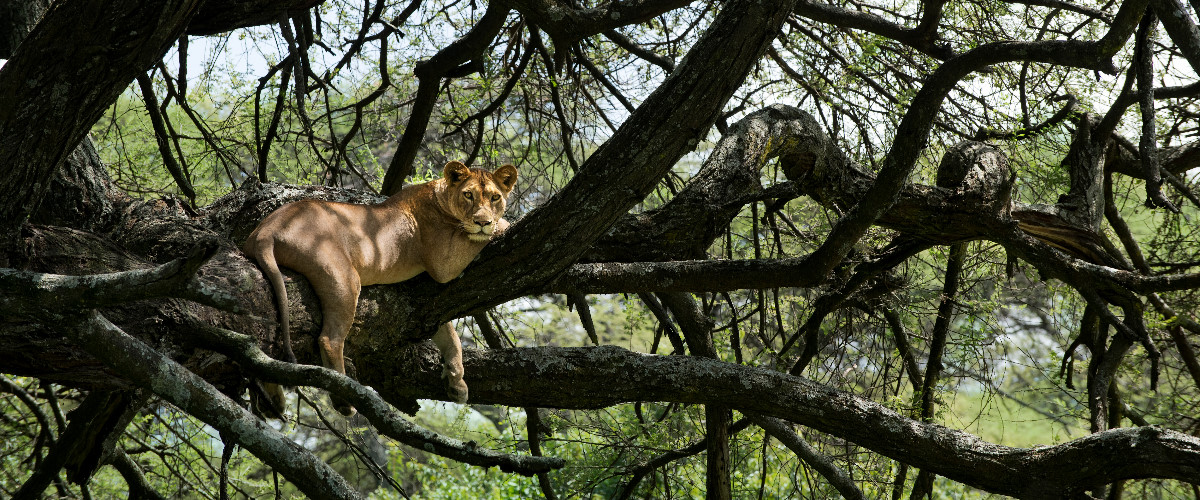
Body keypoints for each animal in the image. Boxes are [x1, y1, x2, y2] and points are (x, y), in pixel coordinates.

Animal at [243, 160, 517, 416]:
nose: (482, 221)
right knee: (329, 339)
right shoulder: (443, 264)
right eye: (468, 195)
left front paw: (457, 381)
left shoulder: (429, 302)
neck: (441, 198)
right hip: (343, 277)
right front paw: (500, 225)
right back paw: (343, 399)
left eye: (495, 197)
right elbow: (477, 238)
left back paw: (272, 402)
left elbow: (449, 335)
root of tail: (266, 229)